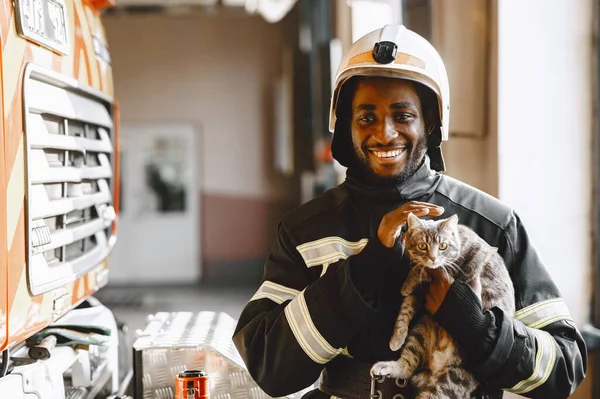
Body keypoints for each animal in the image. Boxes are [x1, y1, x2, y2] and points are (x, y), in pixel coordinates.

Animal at [370, 216, 516, 399]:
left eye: (443, 246)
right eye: (422, 246)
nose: (433, 258)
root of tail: (436, 369)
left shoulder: (455, 268)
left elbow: (423, 269)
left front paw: (409, 281)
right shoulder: (420, 293)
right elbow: (405, 311)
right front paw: (397, 337)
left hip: (453, 379)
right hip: (419, 333)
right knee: (407, 367)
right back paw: (384, 366)